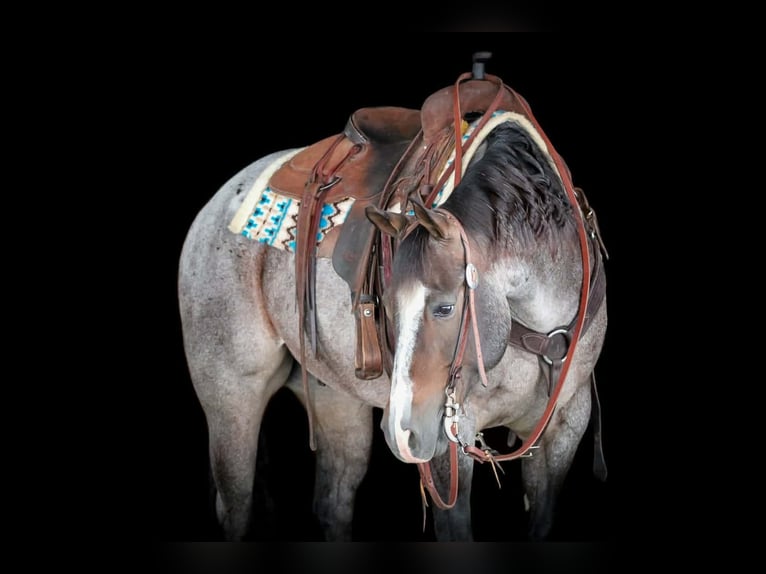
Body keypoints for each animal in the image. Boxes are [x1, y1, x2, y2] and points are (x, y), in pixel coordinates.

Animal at [177, 59, 609, 541]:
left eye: (445, 307)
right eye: (388, 308)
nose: (403, 433)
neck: (539, 327)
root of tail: (216, 205)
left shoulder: (565, 428)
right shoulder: (449, 437)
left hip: (336, 400)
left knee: (332, 505)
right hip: (232, 399)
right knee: (236, 506)